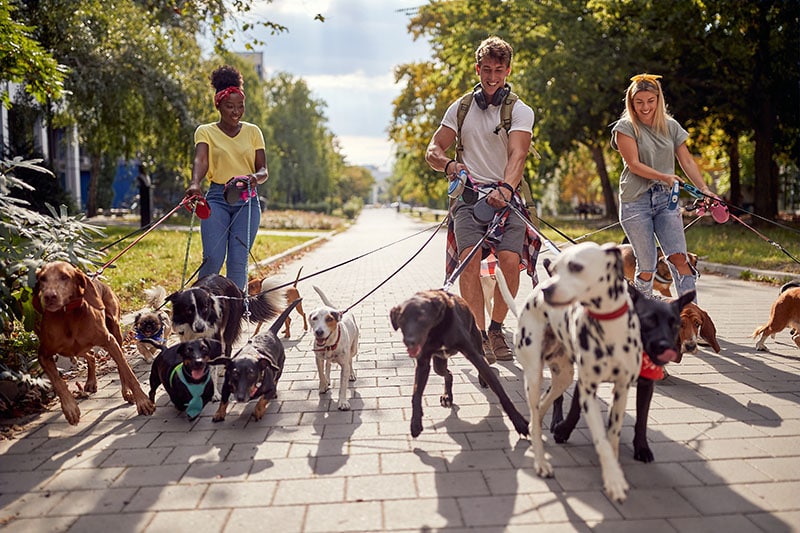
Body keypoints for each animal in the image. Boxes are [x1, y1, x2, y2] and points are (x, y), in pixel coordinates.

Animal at [32, 260, 155, 424]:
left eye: (65, 276)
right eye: (42, 279)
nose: (49, 296)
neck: (68, 315)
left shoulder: (110, 342)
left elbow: (129, 374)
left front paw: (143, 402)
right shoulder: (43, 355)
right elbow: (58, 382)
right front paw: (70, 409)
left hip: (115, 333)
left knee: (119, 365)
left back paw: (126, 391)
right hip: (76, 350)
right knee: (90, 355)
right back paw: (91, 382)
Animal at [390, 290, 532, 436]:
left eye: (422, 318)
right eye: (401, 320)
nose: (409, 341)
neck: (437, 331)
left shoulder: (473, 355)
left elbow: (500, 391)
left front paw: (519, 422)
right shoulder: (423, 364)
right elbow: (416, 394)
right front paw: (415, 422)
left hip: (477, 346)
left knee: (483, 363)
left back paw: (482, 379)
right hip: (438, 365)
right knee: (449, 374)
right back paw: (447, 396)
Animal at [552, 286, 692, 462]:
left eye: (676, 325)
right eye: (649, 320)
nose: (667, 347)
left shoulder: (646, 385)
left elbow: (642, 419)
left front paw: (641, 447)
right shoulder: (587, 377)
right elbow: (575, 409)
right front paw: (563, 431)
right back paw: (556, 419)